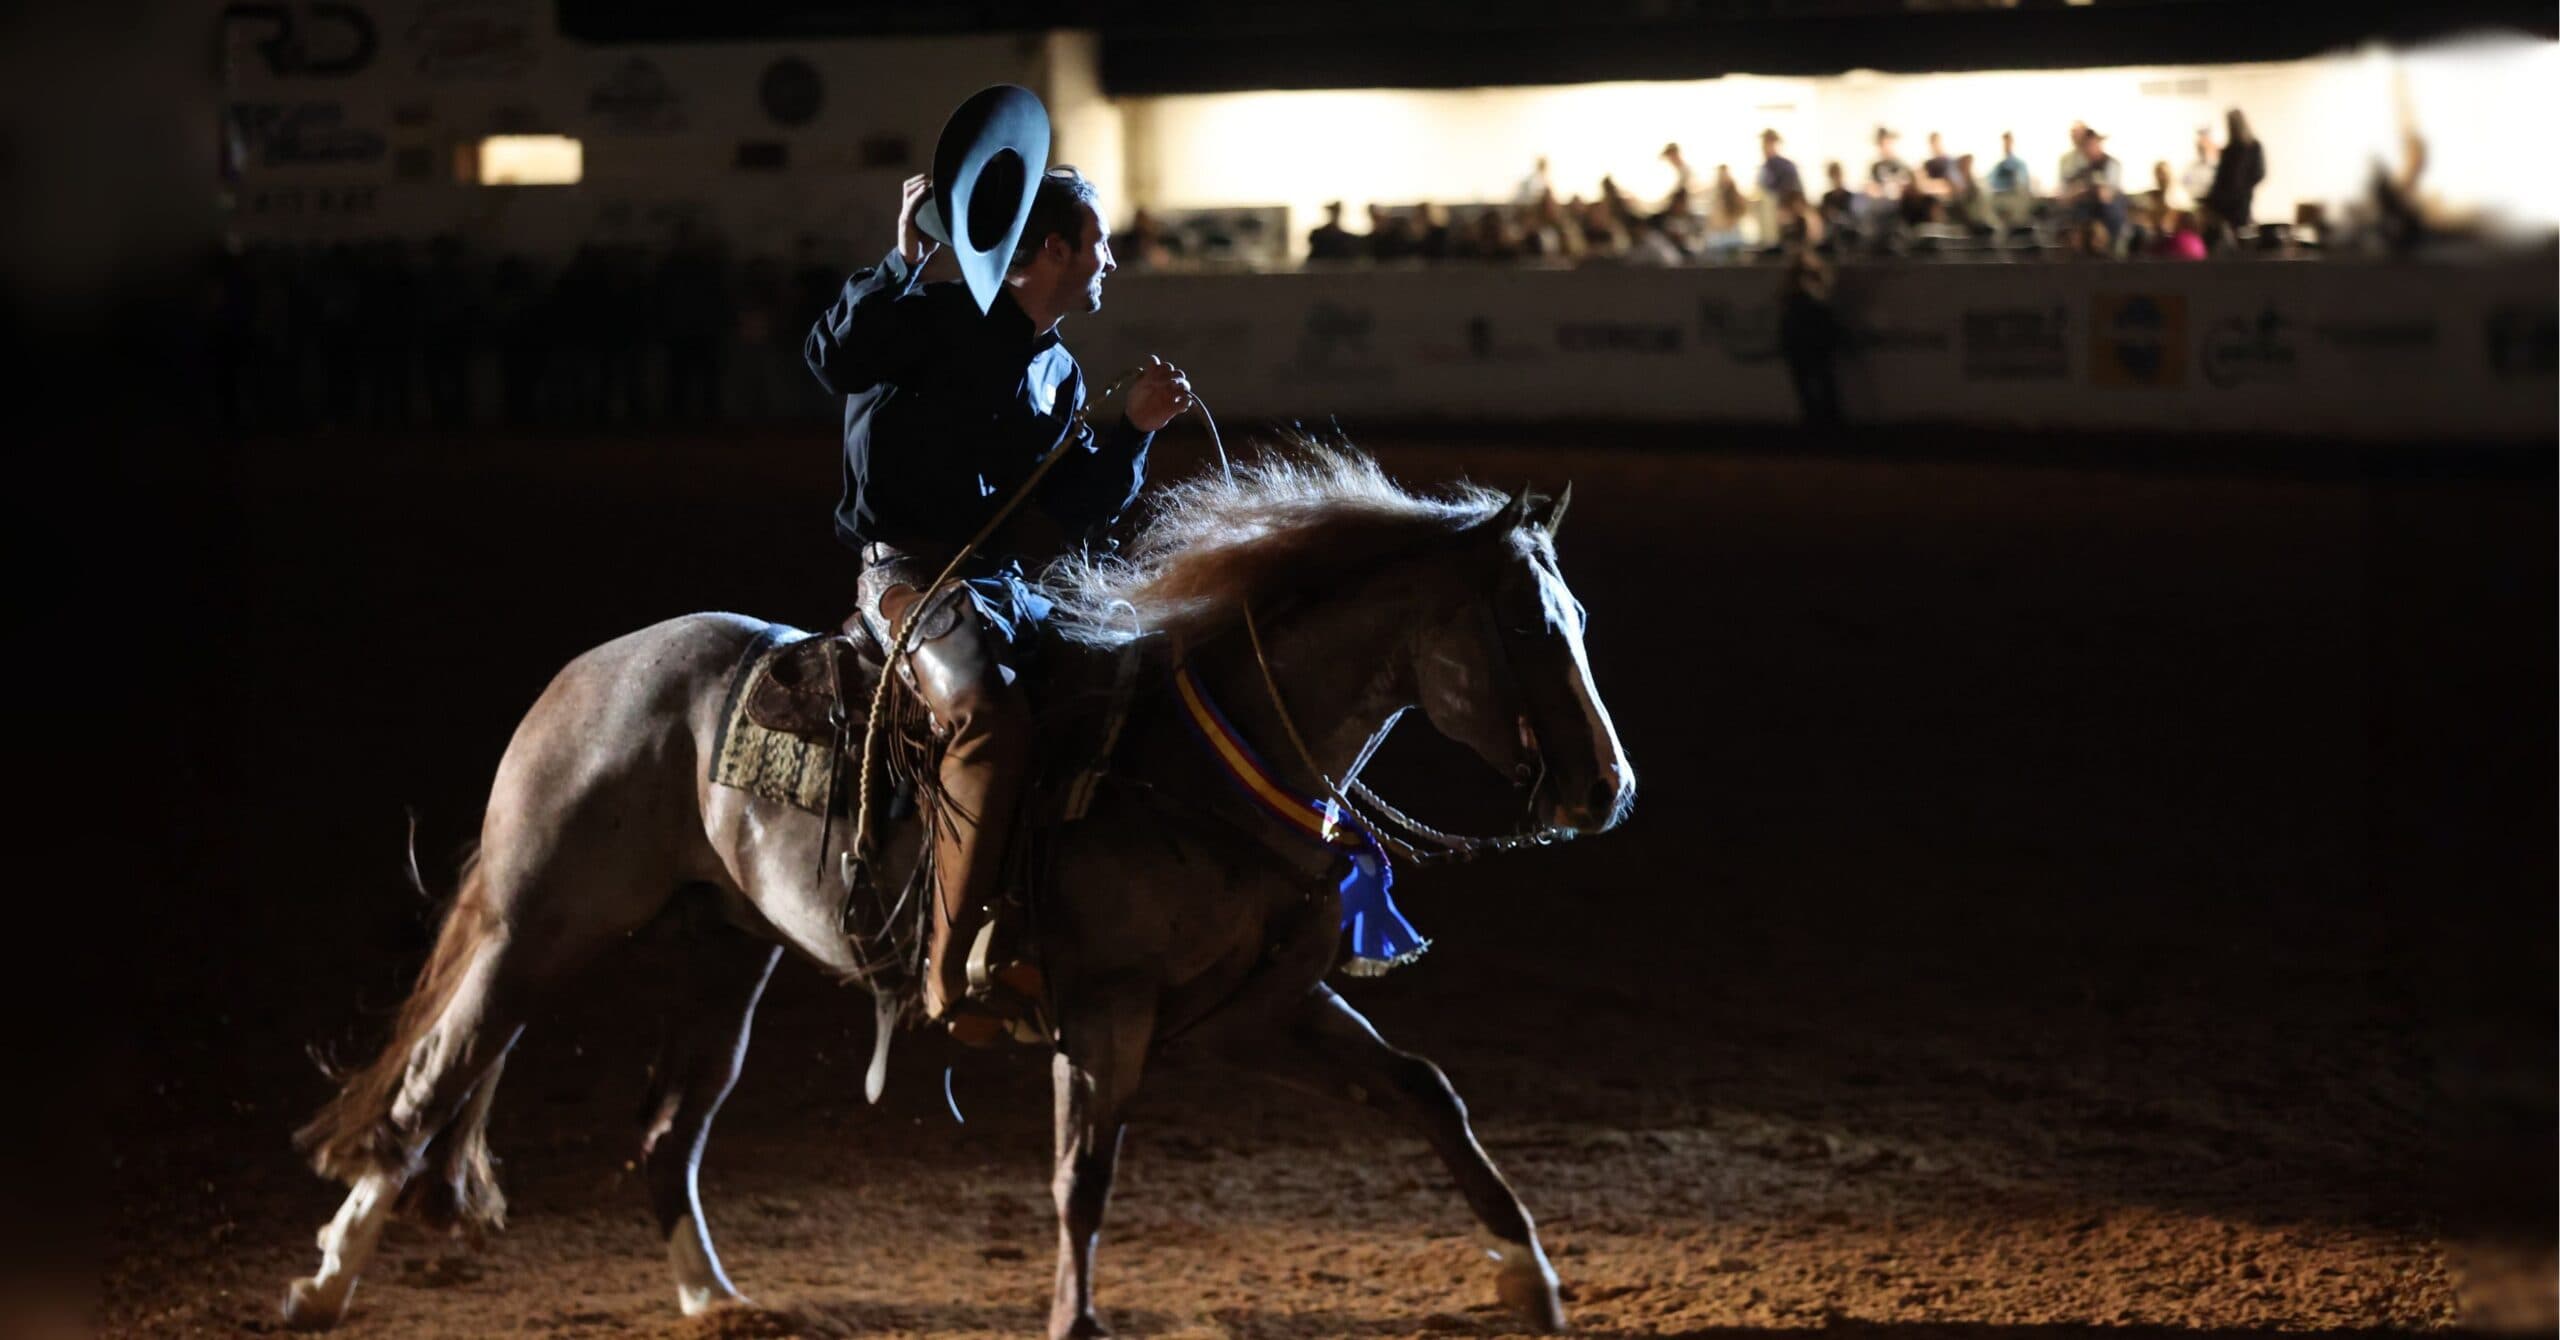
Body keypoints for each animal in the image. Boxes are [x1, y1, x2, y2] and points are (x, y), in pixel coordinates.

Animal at [281, 447, 1635, 1337]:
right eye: (1529, 627)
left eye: (1577, 616)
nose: (1606, 789)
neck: (1198, 761)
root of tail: (585, 673)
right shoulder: (1104, 1012)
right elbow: (1082, 1175)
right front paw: (1073, 1322)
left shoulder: (1264, 1010)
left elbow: (1429, 1093)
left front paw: (1528, 1274)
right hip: (539, 925)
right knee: (427, 1085)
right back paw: (325, 1279)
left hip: (722, 954)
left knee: (666, 1134)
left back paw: (714, 1298)